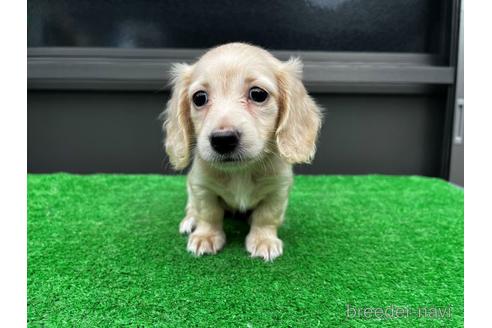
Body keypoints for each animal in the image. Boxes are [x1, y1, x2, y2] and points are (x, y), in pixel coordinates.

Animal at [162, 43, 322, 262]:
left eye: (258, 94)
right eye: (199, 98)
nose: (223, 140)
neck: (240, 171)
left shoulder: (278, 189)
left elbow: (267, 216)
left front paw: (264, 240)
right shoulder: (202, 186)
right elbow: (208, 213)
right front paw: (205, 236)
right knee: (192, 206)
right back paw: (190, 220)